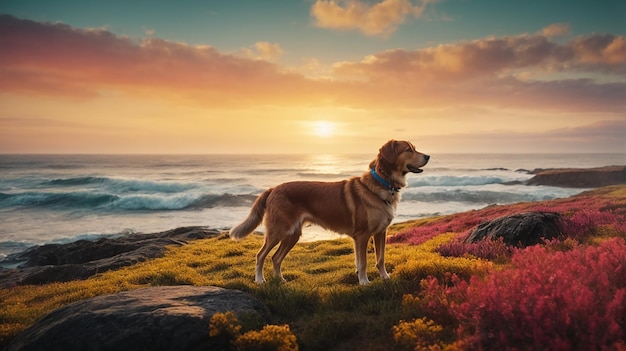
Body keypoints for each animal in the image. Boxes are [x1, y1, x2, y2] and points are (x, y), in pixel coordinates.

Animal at [229, 140, 428, 286]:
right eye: (409, 149)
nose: (428, 156)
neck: (383, 183)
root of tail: (272, 189)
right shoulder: (362, 235)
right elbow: (363, 262)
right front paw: (364, 282)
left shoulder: (380, 232)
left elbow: (380, 259)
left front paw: (385, 278)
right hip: (278, 231)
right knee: (260, 255)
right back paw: (260, 280)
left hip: (292, 235)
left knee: (276, 258)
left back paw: (281, 280)